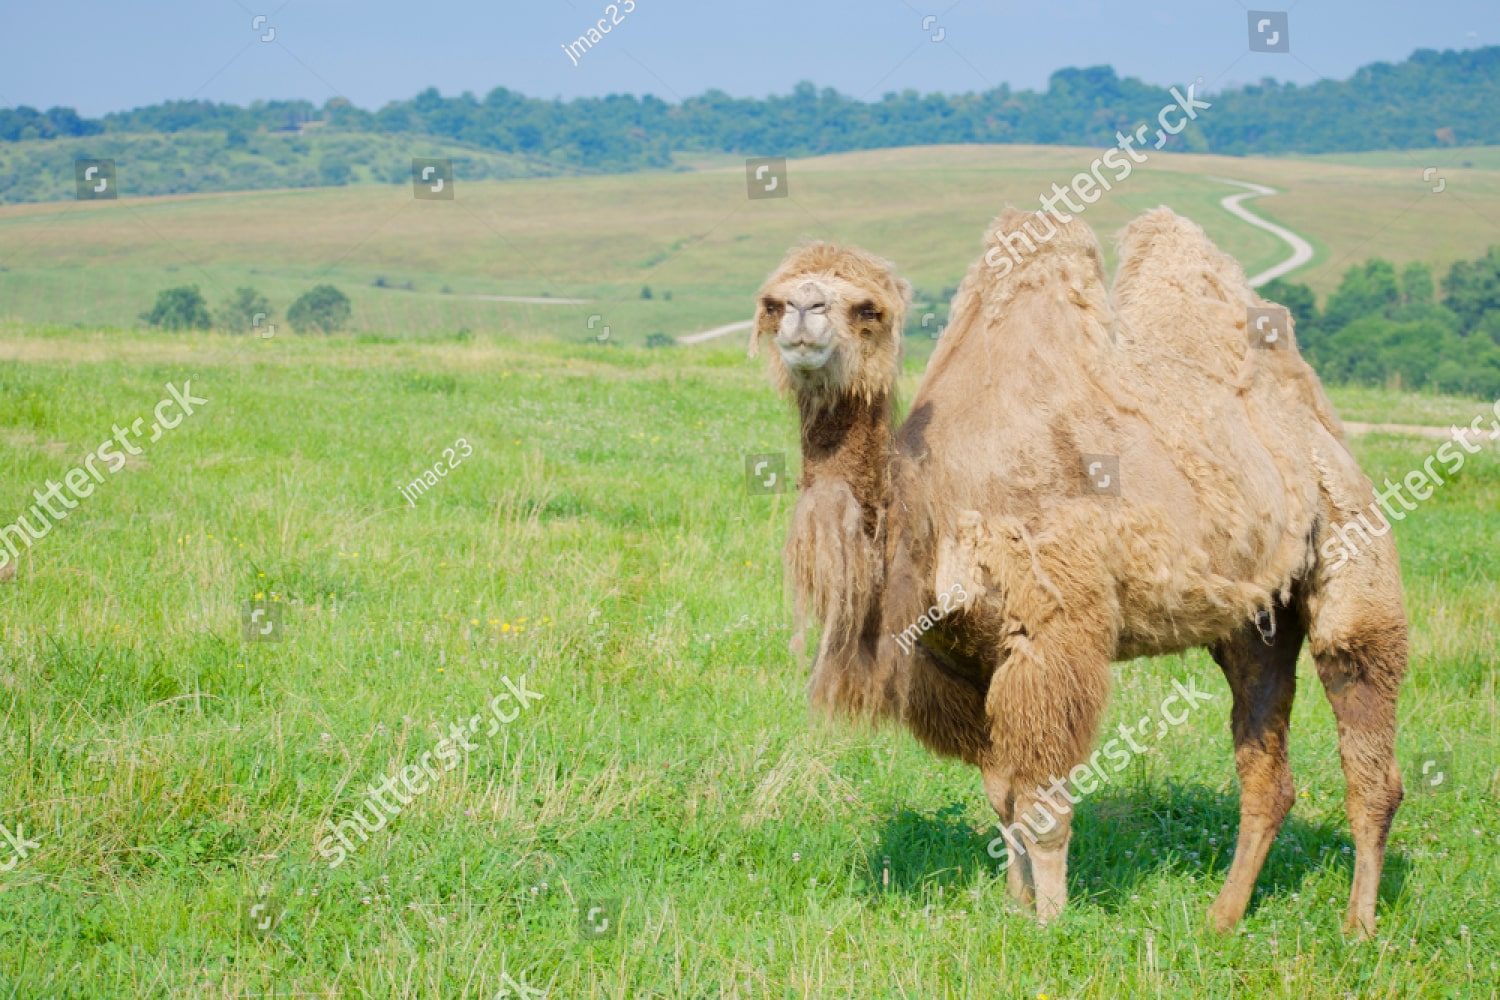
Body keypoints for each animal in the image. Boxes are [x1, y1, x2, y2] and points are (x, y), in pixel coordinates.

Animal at [750, 208, 1408, 935]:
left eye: (868, 309)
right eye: (772, 301)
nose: (803, 315)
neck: (929, 509)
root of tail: (1324, 434)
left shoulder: (1052, 635)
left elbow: (1043, 807)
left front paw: (1050, 923)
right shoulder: (960, 659)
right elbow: (1000, 794)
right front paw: (1015, 903)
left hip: (1354, 541)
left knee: (1365, 718)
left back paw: (1359, 927)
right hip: (1254, 619)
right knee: (1266, 764)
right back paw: (1222, 918)